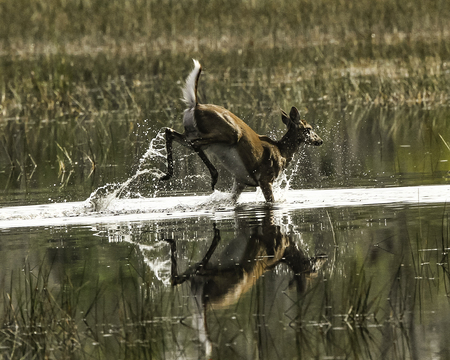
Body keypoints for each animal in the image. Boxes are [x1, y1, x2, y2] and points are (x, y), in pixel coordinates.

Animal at [160, 57, 322, 201]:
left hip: (192, 134)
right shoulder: (265, 178)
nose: (320, 141)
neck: (281, 152)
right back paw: (213, 177)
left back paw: (167, 175)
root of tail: (195, 106)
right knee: (195, 143)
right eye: (308, 129)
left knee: (170, 132)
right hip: (230, 133)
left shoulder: (240, 181)